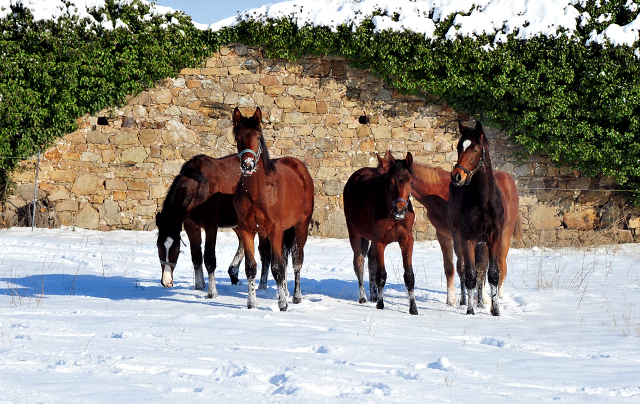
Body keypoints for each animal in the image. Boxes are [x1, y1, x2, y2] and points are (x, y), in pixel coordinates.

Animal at [158, 153, 272, 298]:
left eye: (176, 247)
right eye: (158, 246)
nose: (166, 281)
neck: (199, 187)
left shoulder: (211, 225)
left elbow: (209, 258)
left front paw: (212, 292)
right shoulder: (191, 225)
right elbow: (196, 256)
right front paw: (199, 286)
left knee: (265, 253)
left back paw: (262, 285)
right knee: (242, 242)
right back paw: (233, 272)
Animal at [234, 106, 316, 310]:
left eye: (258, 137)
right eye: (238, 137)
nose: (248, 165)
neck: (257, 192)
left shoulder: (275, 230)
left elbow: (278, 267)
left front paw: (283, 305)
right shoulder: (247, 230)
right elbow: (251, 267)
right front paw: (251, 303)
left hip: (300, 226)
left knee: (296, 261)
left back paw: (295, 296)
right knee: (285, 260)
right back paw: (284, 292)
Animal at [344, 152, 420, 316]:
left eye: (411, 181)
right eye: (391, 182)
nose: (400, 209)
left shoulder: (406, 240)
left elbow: (409, 275)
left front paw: (413, 308)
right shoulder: (379, 241)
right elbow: (381, 275)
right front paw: (380, 304)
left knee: (371, 260)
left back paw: (373, 295)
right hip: (355, 233)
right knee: (359, 262)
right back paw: (363, 297)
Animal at [448, 121, 524, 318]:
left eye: (475, 149)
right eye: (459, 147)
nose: (457, 176)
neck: (483, 200)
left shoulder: (495, 238)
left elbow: (493, 274)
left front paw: (495, 310)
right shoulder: (468, 239)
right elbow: (470, 275)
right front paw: (470, 311)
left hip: (497, 241)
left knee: (490, 269)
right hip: (460, 241)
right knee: (464, 268)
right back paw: (468, 301)